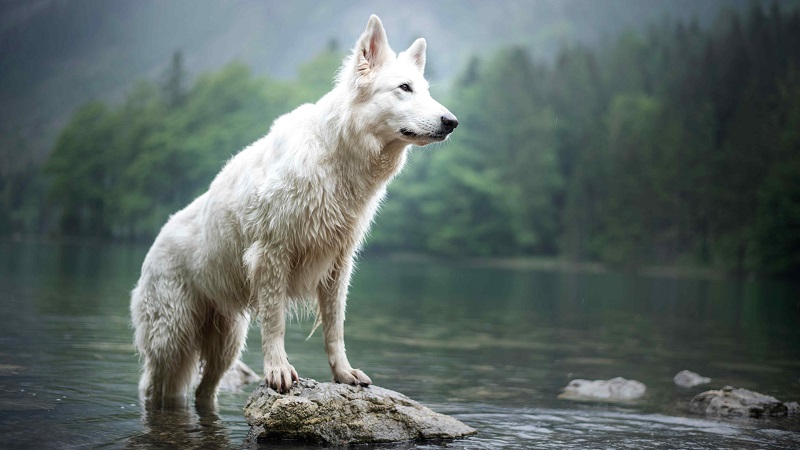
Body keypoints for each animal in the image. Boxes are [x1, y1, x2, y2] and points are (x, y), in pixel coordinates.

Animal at [130, 14, 456, 408]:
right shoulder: (272, 255)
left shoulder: (337, 263)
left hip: (226, 342)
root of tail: (155, 242)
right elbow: (275, 323)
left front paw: (343, 374)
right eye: (404, 88)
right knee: (153, 386)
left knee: (204, 391)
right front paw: (278, 370)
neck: (335, 157)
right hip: (171, 341)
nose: (452, 122)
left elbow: (334, 327)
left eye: (424, 90)